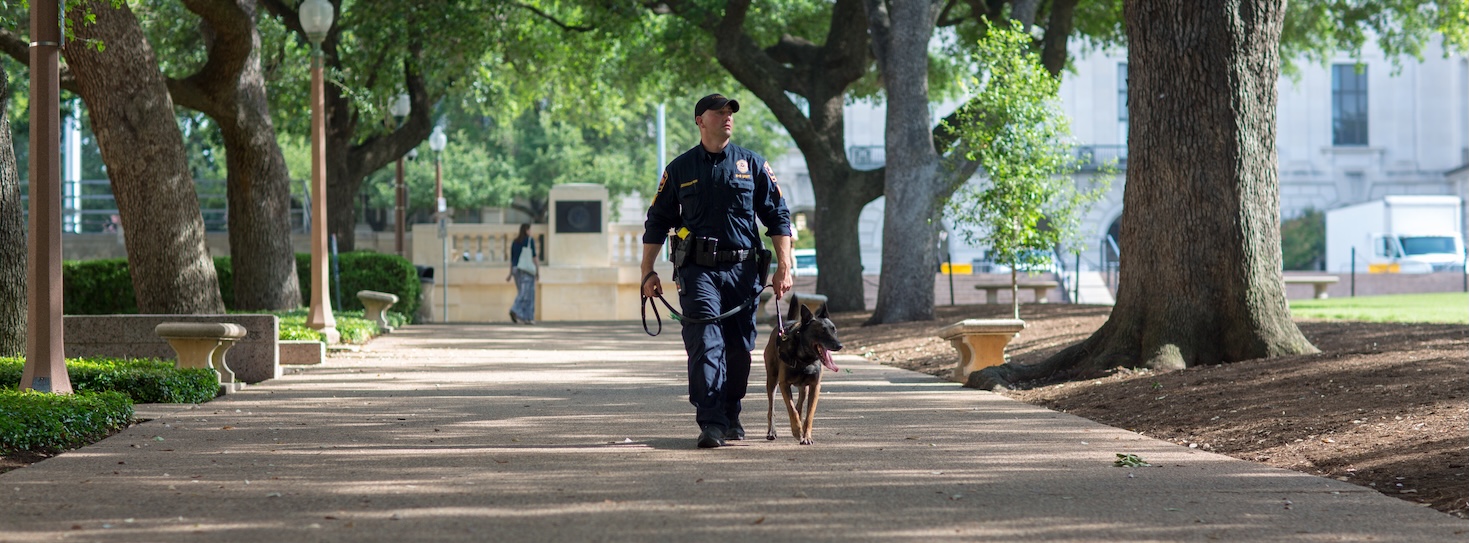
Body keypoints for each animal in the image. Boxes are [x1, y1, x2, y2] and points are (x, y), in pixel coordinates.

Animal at [763, 296, 846, 446]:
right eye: (822, 331)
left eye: (834, 330)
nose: (839, 345)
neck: (805, 358)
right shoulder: (784, 384)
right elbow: (791, 409)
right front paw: (797, 431)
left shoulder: (815, 386)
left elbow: (809, 414)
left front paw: (806, 436)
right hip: (772, 380)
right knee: (772, 408)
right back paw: (772, 432)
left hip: (804, 387)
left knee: (800, 404)